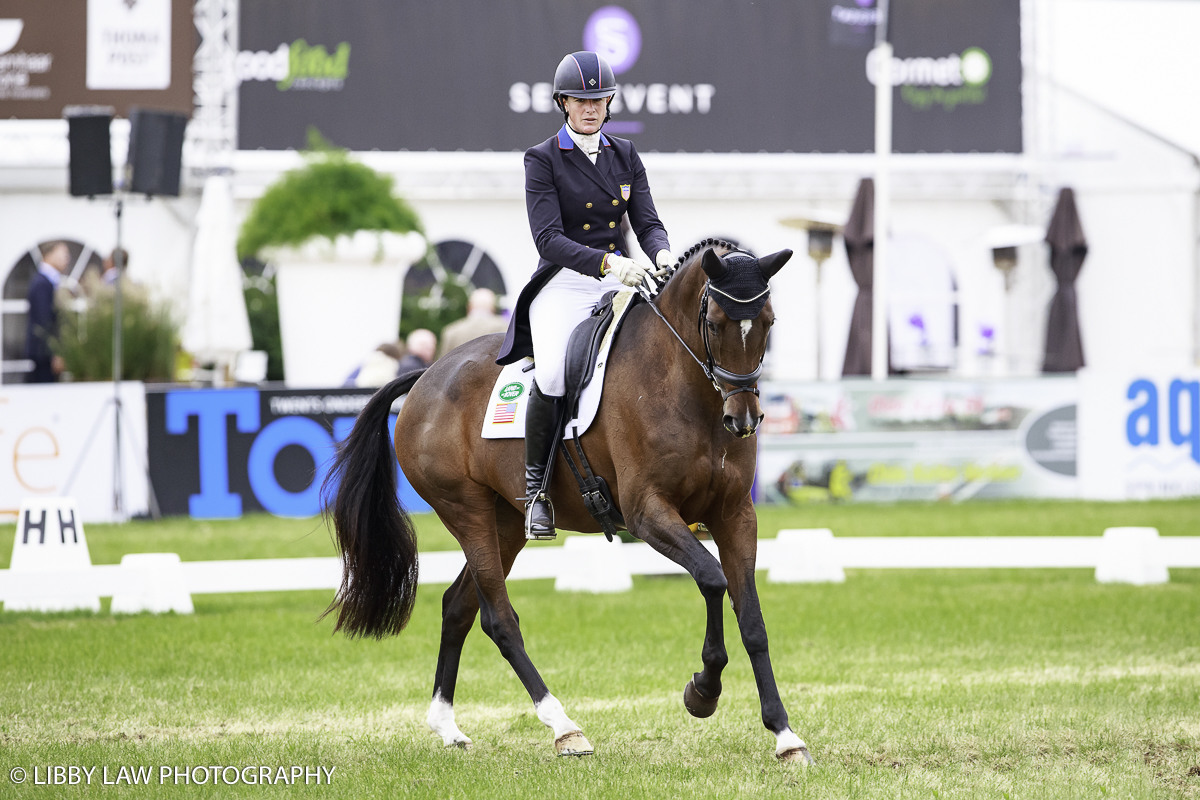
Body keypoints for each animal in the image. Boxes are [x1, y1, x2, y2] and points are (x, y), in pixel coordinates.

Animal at [326, 237, 816, 762]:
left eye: (769, 322)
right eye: (716, 323)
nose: (743, 419)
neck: (686, 388)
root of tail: (426, 376)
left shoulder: (735, 515)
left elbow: (753, 620)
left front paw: (785, 734)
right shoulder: (647, 514)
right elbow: (712, 579)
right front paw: (702, 692)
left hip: (506, 521)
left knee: (458, 607)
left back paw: (447, 726)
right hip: (466, 510)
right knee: (499, 619)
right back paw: (563, 727)